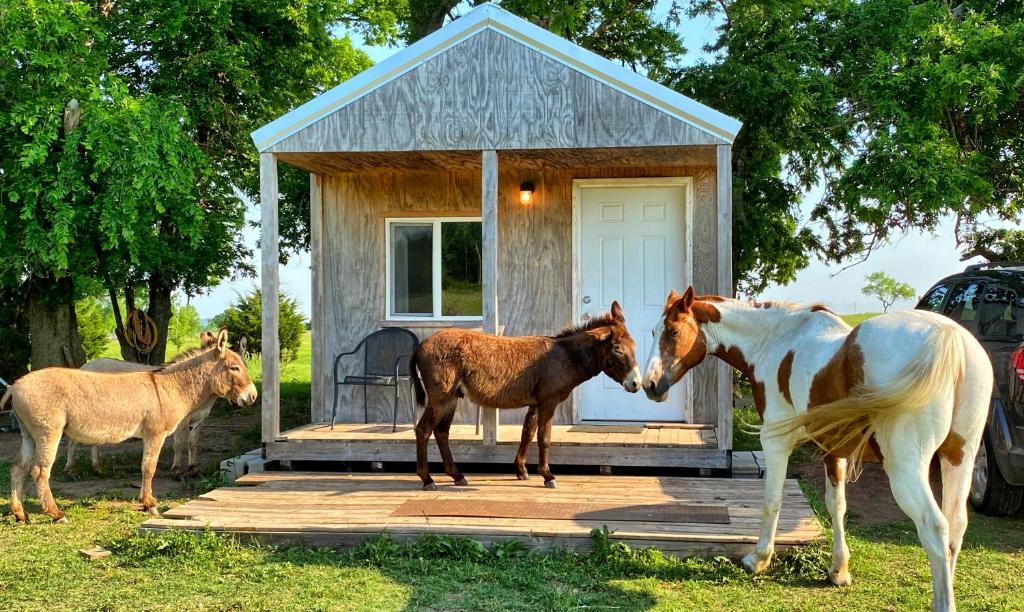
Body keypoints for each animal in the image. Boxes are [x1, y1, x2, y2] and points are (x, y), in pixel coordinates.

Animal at [643, 288, 987, 612]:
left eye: (672, 331)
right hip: (959, 458)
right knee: (956, 526)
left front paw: (759, 559)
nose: (650, 384)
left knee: (935, 528)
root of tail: (950, 338)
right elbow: (836, 506)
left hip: (906, 469)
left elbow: (772, 501)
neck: (776, 341)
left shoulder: (775, 441)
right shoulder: (832, 448)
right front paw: (838, 570)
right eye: (653, 331)